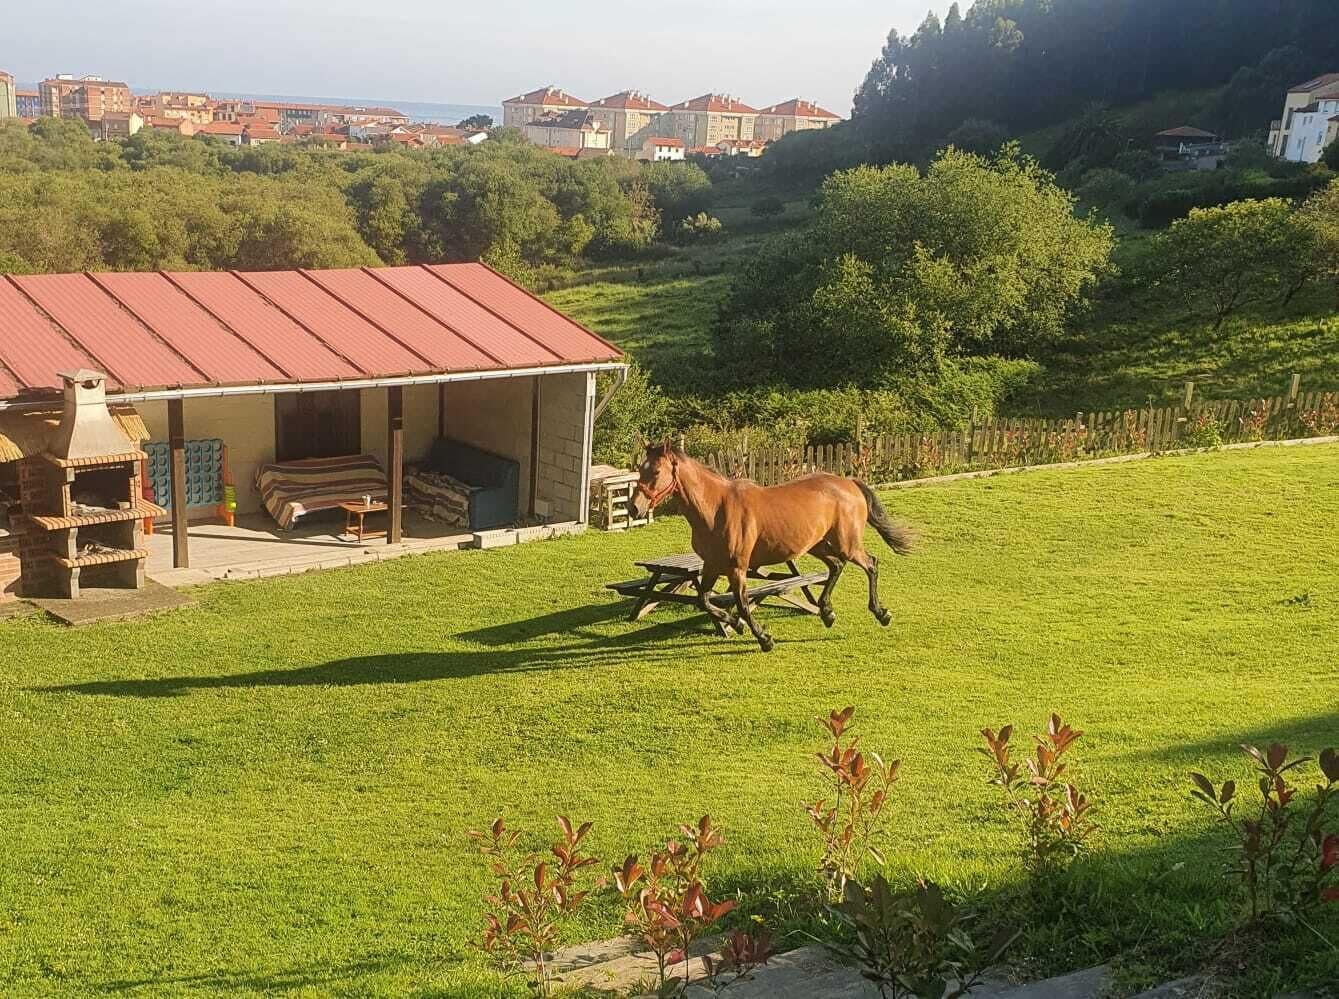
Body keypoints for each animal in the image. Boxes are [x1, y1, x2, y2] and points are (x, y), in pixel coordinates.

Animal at [630, 441, 914, 652]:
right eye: (640, 469)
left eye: (656, 472)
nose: (634, 508)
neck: (716, 509)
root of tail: (849, 483)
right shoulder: (711, 565)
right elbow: (704, 600)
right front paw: (736, 624)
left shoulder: (737, 568)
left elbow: (743, 605)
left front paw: (764, 638)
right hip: (817, 545)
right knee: (836, 566)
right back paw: (827, 613)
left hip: (847, 543)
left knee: (870, 565)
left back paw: (881, 613)